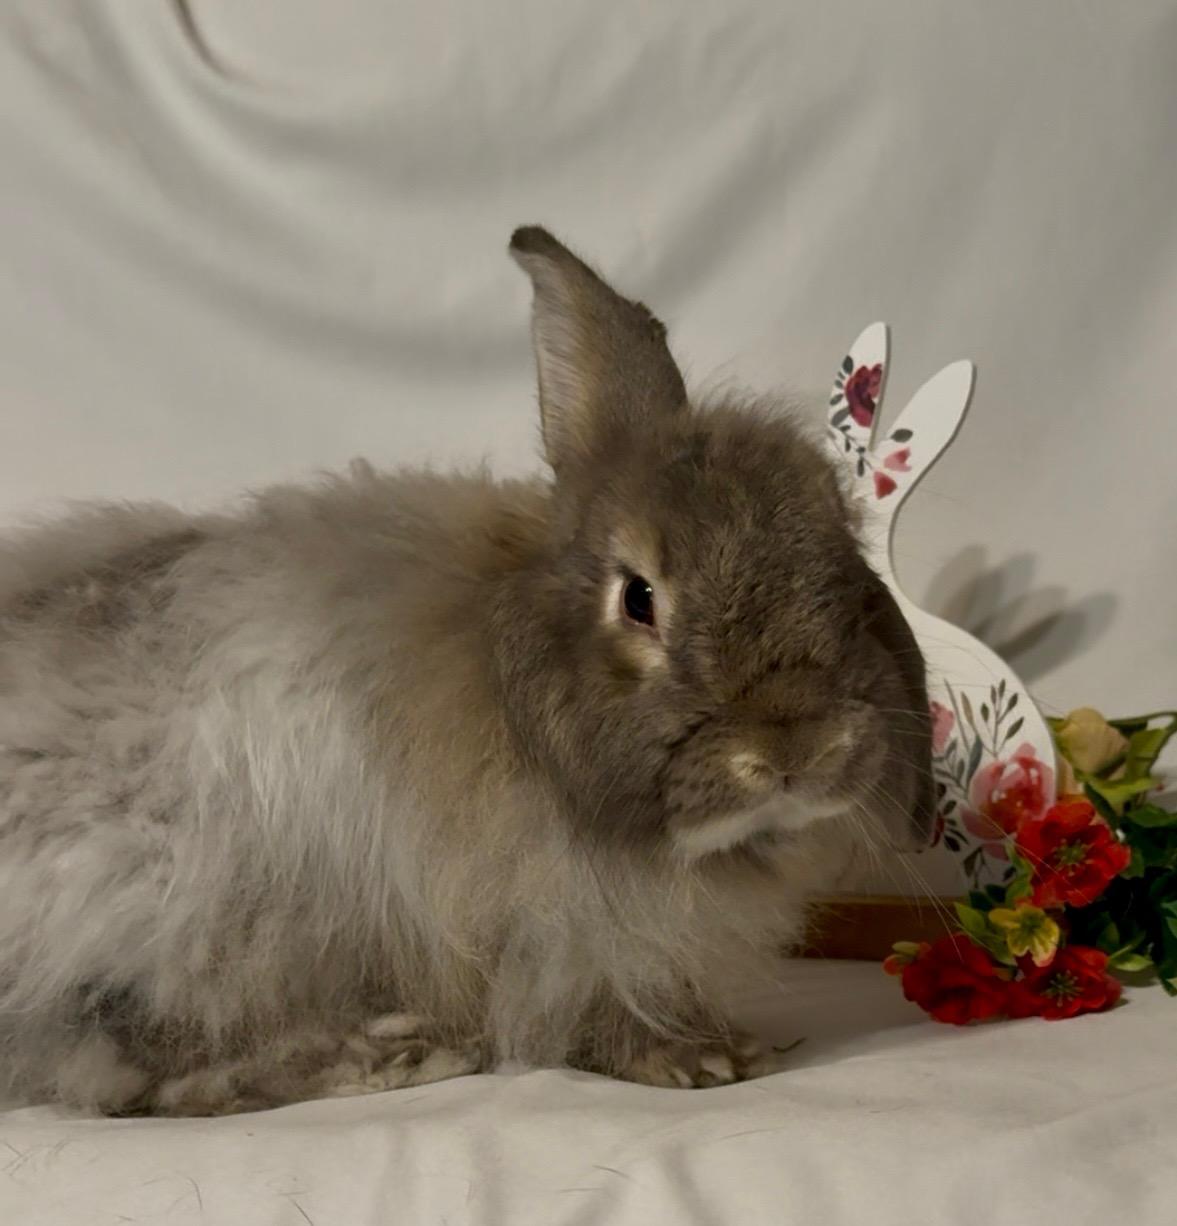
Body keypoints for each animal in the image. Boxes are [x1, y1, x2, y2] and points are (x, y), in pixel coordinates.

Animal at [0, 227, 934, 1116]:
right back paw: (393, 1055)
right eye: (638, 598)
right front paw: (692, 1059)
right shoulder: (553, 927)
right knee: (133, 1063)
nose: (796, 748)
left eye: (841, 559)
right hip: (174, 907)